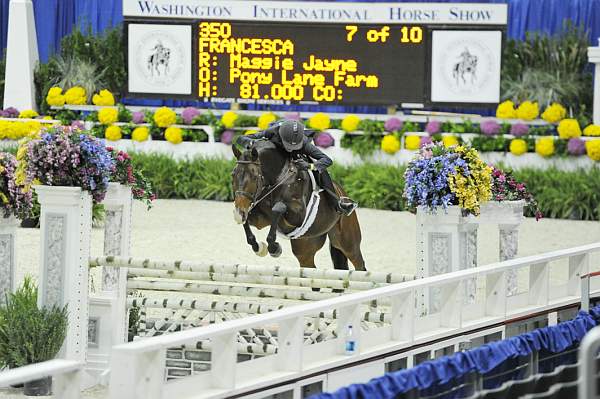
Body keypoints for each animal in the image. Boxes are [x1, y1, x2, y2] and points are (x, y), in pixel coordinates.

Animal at [233, 141, 366, 272]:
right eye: (233, 174)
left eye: (254, 176)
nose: (239, 211)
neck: (278, 176)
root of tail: (341, 192)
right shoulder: (260, 220)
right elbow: (248, 221)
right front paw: (260, 247)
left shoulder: (298, 215)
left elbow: (278, 208)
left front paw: (274, 248)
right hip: (305, 246)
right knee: (309, 267)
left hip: (347, 243)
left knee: (359, 264)